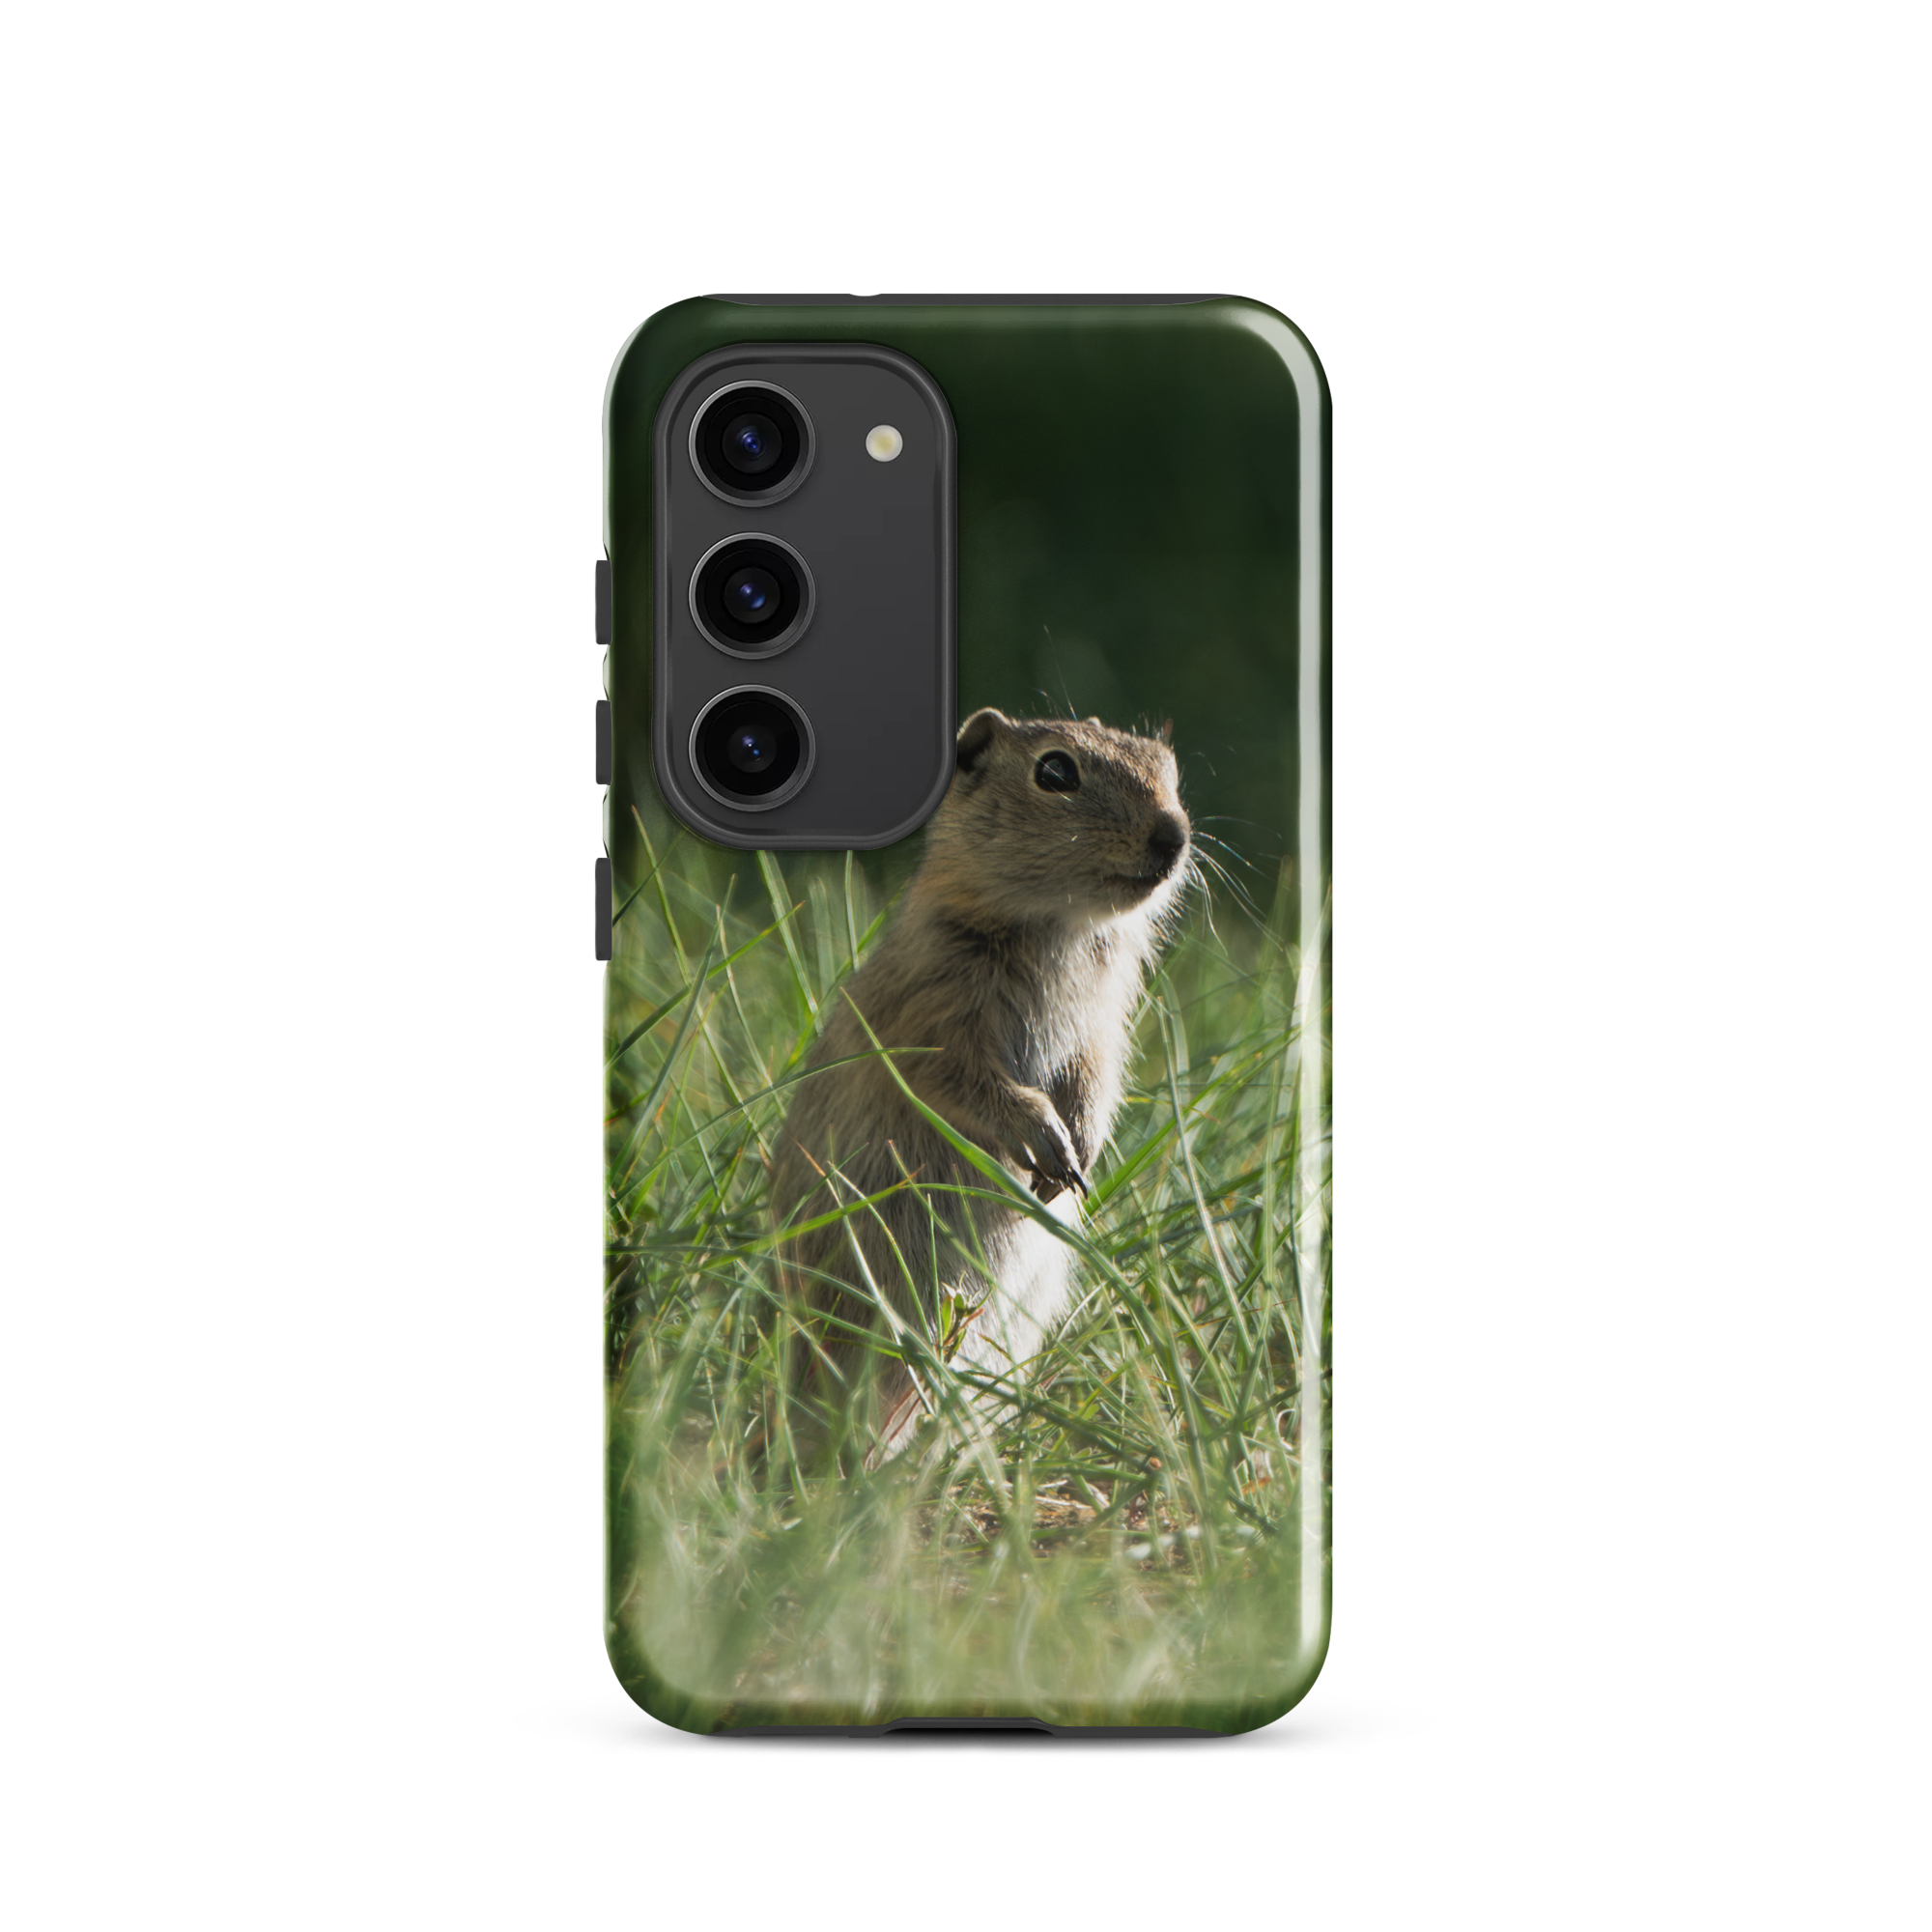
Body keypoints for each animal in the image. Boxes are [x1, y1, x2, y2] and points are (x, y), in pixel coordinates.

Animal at [772, 707, 1193, 1469]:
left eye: (1168, 770)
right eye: (1055, 770)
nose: (1172, 838)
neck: (1061, 927)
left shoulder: (1105, 1027)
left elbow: (1097, 1081)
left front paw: (1076, 1159)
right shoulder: (933, 1018)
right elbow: (968, 1082)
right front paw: (1048, 1145)